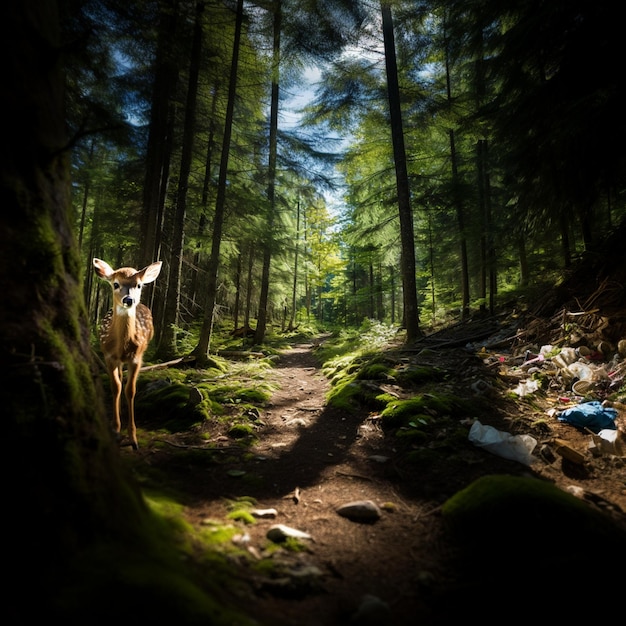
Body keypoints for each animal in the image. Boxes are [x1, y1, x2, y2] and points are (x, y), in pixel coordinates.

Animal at [92, 258, 162, 448]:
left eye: (138, 285)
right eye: (115, 284)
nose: (129, 299)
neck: (121, 346)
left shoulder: (137, 357)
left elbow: (131, 390)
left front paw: (133, 437)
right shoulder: (108, 356)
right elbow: (115, 386)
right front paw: (116, 429)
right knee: (120, 379)